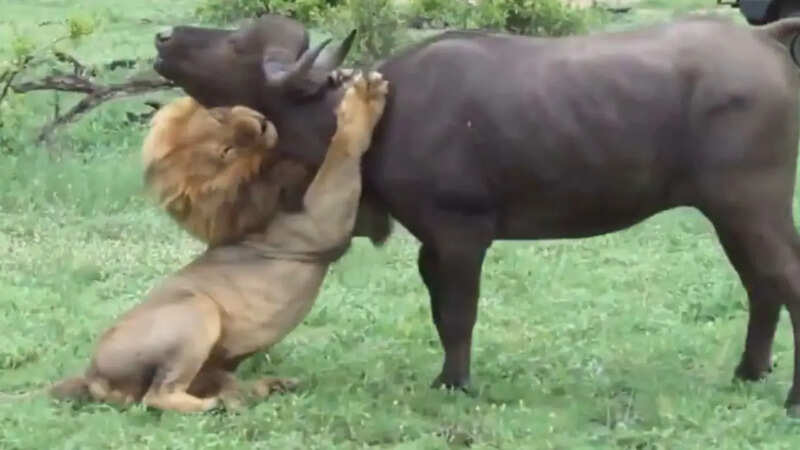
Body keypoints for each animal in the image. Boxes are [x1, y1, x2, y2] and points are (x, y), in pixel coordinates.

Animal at [49, 71, 389, 412]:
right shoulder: (320, 224)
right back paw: (215, 405)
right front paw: (363, 97)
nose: (261, 124)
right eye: (227, 151)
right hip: (197, 310)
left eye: (219, 114)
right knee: (157, 395)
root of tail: (91, 374)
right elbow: (340, 154)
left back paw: (266, 388)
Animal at [153, 14, 800, 415]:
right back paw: (749, 371)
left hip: (751, 207)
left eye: (237, 44)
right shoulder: (432, 245)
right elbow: (443, 313)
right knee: (761, 288)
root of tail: (767, 41)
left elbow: (460, 313)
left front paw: (457, 383)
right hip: (733, 215)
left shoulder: (462, 234)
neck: (388, 114)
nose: (163, 39)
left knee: (784, 283)